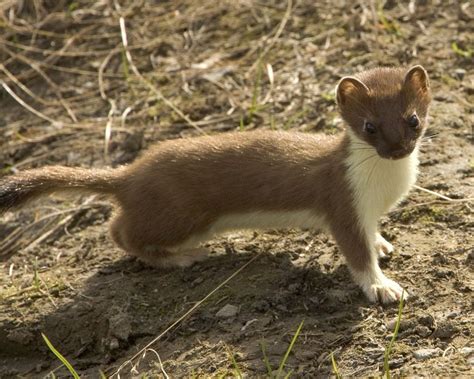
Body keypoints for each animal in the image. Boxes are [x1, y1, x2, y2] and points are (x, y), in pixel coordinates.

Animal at [0, 64, 432, 302]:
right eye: (369, 126)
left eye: (413, 118)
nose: (397, 149)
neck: (385, 188)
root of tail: (131, 171)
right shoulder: (342, 204)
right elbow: (357, 256)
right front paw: (383, 288)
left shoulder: (368, 211)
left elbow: (371, 236)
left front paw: (382, 243)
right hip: (180, 216)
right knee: (120, 231)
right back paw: (182, 257)